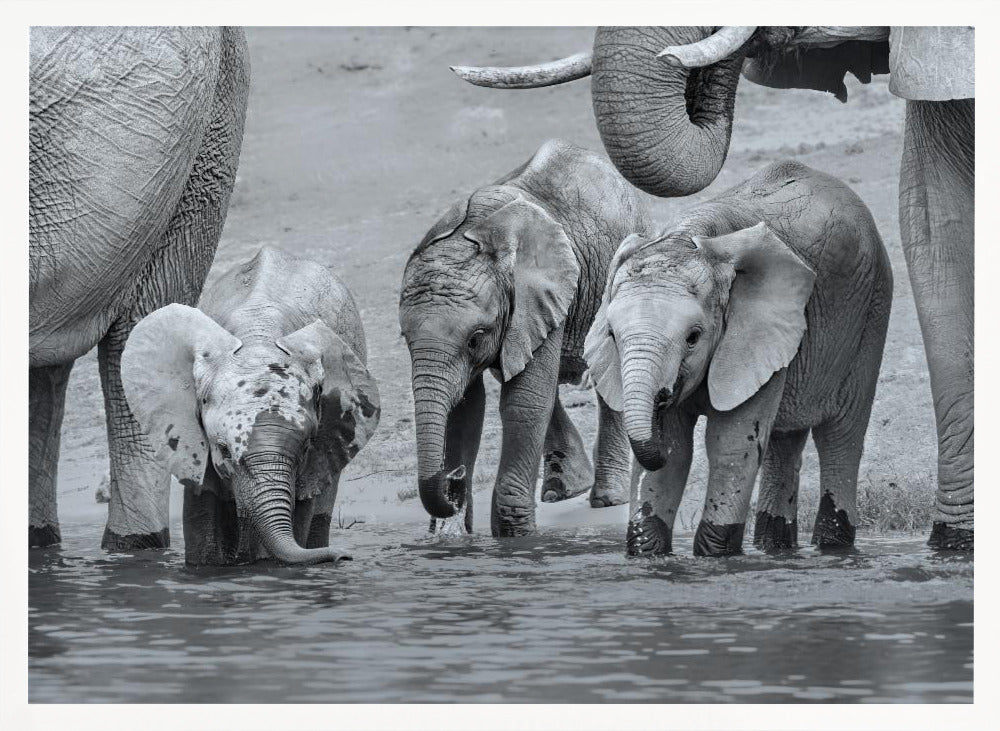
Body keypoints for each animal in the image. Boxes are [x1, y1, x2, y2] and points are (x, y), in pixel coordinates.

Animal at [399, 139, 650, 537]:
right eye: (404, 338)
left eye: (475, 338)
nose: (454, 479)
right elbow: (466, 407)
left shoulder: (540, 295)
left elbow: (523, 403)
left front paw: (515, 536)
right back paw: (563, 490)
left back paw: (608, 498)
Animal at [585, 160, 892, 557]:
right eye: (611, 336)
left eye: (693, 338)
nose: (662, 397)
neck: (689, 239)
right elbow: (676, 450)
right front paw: (649, 554)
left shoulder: (756, 330)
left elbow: (730, 443)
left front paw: (716, 557)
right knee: (784, 440)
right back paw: (775, 549)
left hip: (872, 308)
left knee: (840, 436)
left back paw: (832, 549)